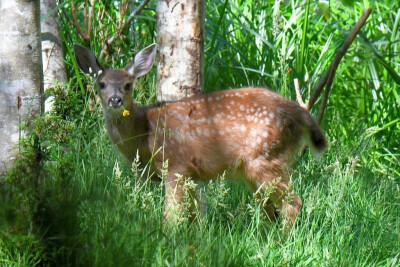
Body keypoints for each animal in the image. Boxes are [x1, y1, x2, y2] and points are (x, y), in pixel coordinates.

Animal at [73, 43, 326, 228]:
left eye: (128, 85)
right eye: (101, 84)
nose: (115, 100)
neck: (143, 133)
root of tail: (302, 114)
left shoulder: (176, 166)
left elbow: (172, 215)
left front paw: (167, 239)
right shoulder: (193, 176)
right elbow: (196, 215)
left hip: (266, 157)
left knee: (292, 203)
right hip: (255, 168)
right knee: (268, 209)